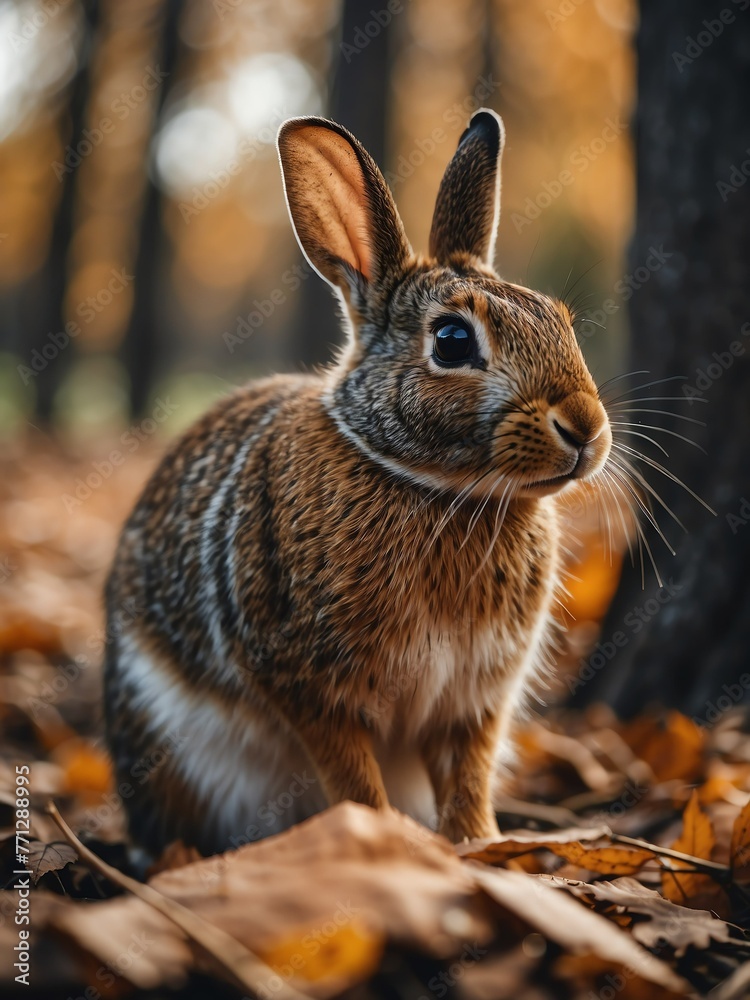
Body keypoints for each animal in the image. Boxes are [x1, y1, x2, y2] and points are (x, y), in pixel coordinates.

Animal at [103, 107, 612, 858]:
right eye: (452, 341)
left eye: (561, 320)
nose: (585, 427)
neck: (429, 485)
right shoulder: (309, 685)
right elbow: (351, 775)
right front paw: (383, 839)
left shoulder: (473, 699)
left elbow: (469, 773)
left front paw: (480, 845)